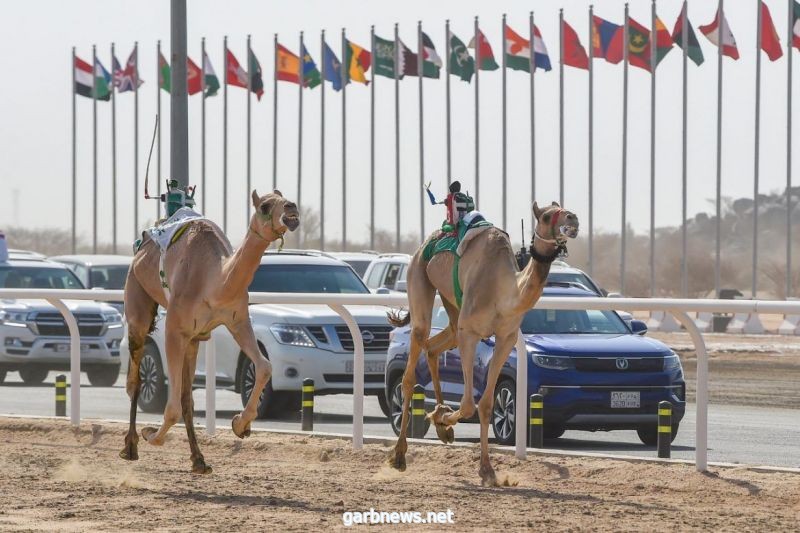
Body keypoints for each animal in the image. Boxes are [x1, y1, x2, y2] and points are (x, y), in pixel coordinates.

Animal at [117, 189, 296, 472]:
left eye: (286, 197)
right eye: (265, 205)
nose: (292, 209)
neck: (215, 281)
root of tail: (142, 245)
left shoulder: (237, 321)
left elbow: (265, 366)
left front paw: (240, 425)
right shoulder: (174, 330)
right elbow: (171, 407)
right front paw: (150, 435)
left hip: (194, 339)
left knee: (186, 398)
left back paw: (199, 459)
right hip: (136, 298)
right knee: (135, 381)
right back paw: (131, 446)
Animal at [386, 202, 580, 484]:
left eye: (565, 208)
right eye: (546, 216)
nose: (573, 219)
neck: (503, 291)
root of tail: (426, 244)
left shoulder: (506, 338)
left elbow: (487, 404)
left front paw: (487, 469)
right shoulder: (471, 332)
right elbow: (468, 404)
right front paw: (442, 417)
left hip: (453, 305)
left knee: (434, 346)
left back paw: (442, 424)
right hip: (419, 276)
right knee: (414, 360)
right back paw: (400, 454)